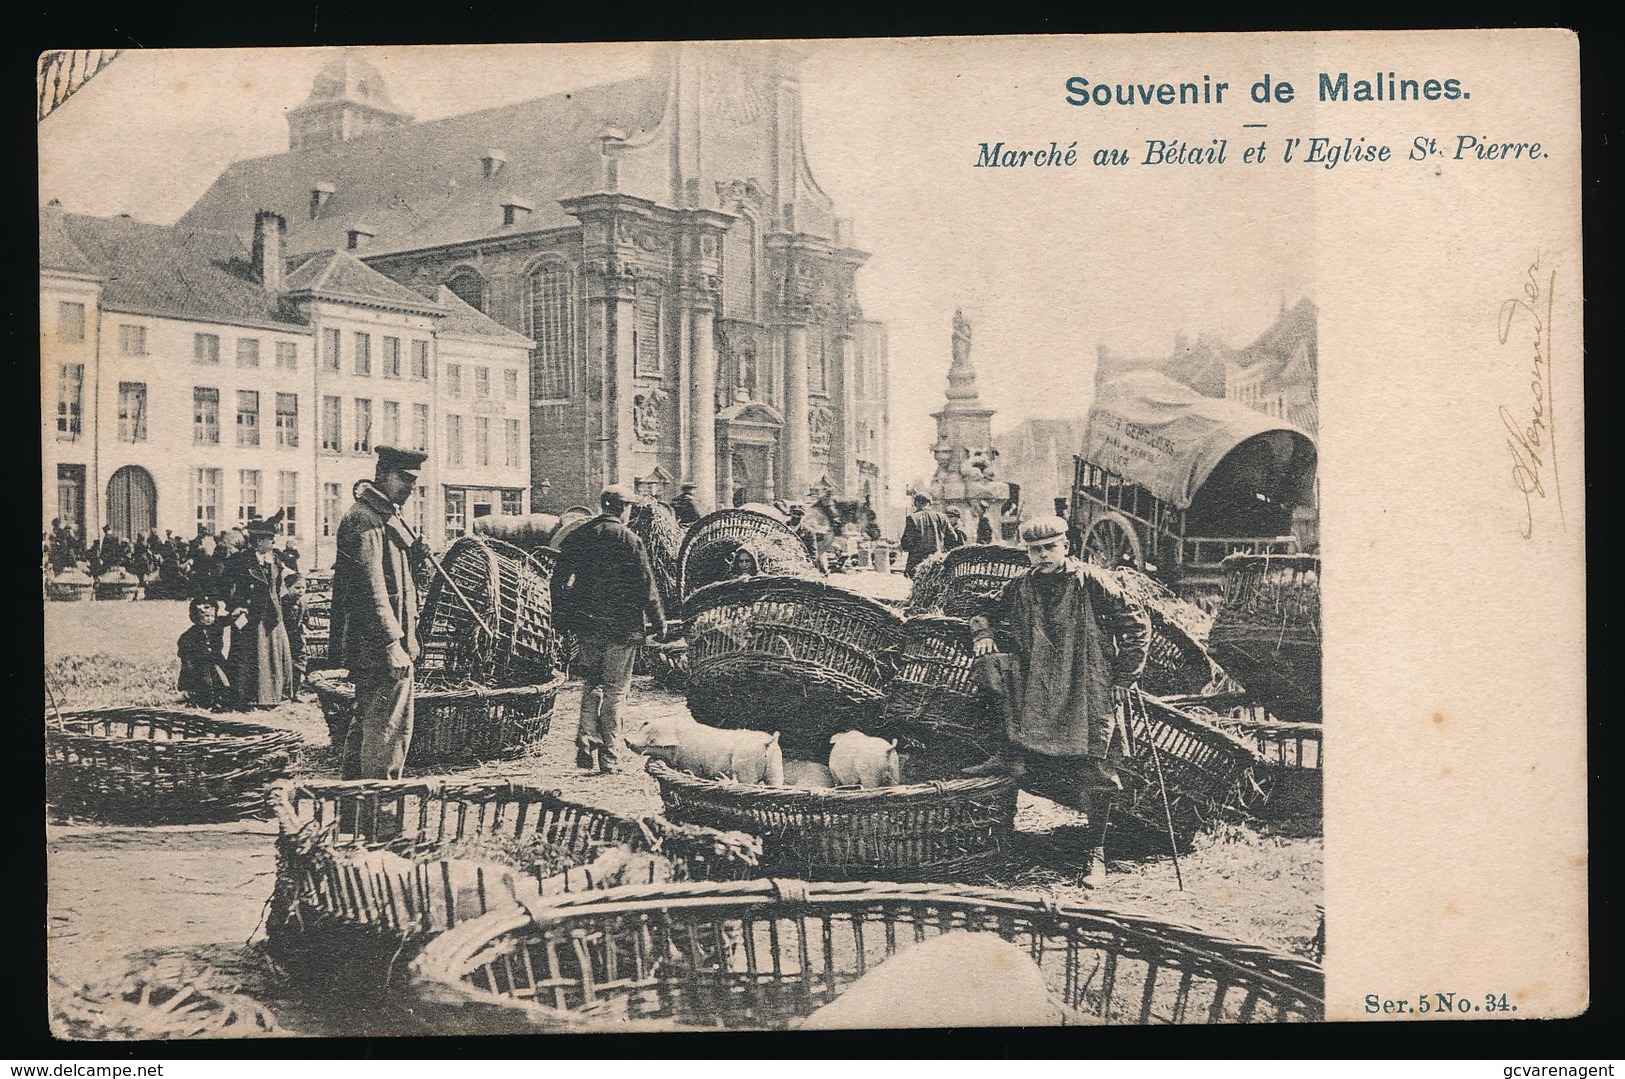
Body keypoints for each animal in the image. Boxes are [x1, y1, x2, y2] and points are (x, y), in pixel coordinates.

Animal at [624, 715, 783, 783]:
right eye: (643, 730)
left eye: (652, 740)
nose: (627, 740)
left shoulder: (690, 763)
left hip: (745, 767)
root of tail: (768, 742)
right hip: (775, 768)